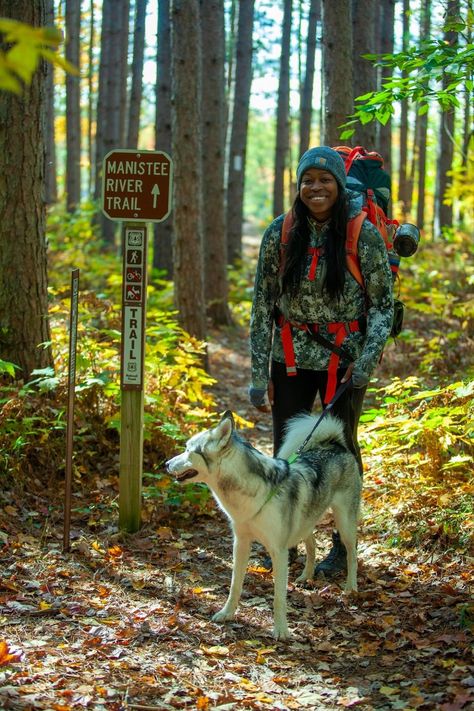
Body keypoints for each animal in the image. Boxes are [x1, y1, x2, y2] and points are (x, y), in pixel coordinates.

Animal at [166, 412, 360, 640]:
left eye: (189, 450)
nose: (166, 464)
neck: (252, 494)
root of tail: (335, 445)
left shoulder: (279, 551)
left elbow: (278, 597)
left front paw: (281, 630)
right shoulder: (241, 544)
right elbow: (235, 585)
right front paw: (227, 613)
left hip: (344, 524)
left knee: (352, 554)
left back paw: (351, 588)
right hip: (303, 524)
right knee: (312, 544)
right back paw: (306, 576)